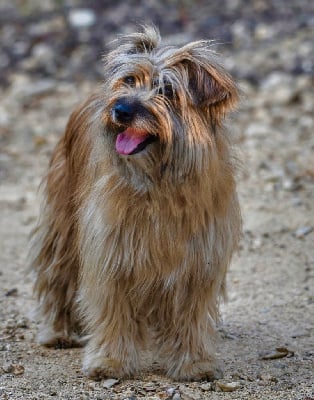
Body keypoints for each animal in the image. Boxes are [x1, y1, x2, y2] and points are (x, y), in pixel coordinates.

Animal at [28, 25, 240, 382]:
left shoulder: (198, 262)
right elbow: (113, 311)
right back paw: (59, 332)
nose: (122, 110)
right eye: (129, 80)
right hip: (63, 226)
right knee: (58, 276)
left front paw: (193, 363)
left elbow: (190, 317)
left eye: (167, 90)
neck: (159, 185)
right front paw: (110, 362)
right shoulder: (112, 253)